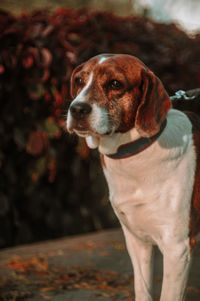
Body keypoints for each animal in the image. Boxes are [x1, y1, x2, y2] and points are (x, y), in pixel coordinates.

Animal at [66, 54, 200, 300]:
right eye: (79, 81)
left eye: (115, 84)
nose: (77, 109)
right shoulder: (137, 242)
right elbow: (142, 290)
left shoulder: (177, 249)